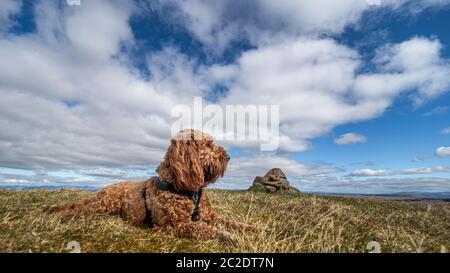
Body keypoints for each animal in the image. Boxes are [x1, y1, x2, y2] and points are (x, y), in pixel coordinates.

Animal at [48, 129, 256, 241]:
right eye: (207, 145)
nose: (228, 157)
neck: (188, 190)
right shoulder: (174, 225)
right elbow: (206, 229)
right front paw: (231, 239)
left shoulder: (211, 216)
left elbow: (235, 224)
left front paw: (258, 230)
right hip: (102, 205)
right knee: (80, 209)